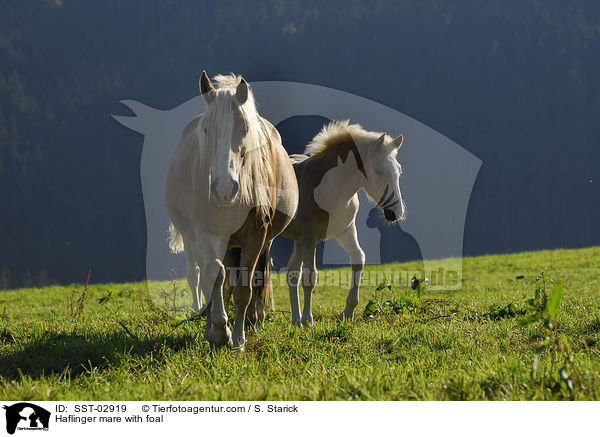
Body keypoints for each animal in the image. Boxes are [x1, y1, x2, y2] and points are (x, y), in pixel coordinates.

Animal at [164, 72, 298, 348]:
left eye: (244, 128)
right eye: (206, 129)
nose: (224, 188)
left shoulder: (256, 237)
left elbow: (245, 287)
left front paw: (238, 338)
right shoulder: (206, 234)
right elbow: (215, 275)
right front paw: (218, 330)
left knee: (258, 276)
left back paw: (255, 320)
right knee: (208, 277)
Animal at [280, 121, 404, 326]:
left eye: (399, 171)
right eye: (378, 171)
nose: (396, 213)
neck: (330, 188)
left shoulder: (345, 230)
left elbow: (358, 258)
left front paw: (347, 312)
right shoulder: (309, 237)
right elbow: (310, 277)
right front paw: (308, 320)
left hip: (296, 240)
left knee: (292, 272)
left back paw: (295, 320)